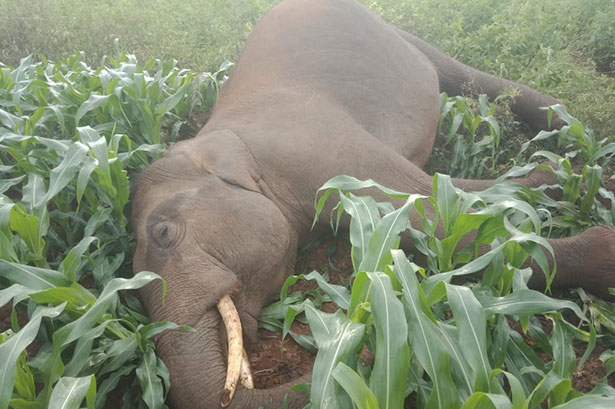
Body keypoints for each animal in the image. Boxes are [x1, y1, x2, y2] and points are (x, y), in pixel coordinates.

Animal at [131, 0, 615, 408]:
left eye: (164, 232)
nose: (362, 342)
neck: (215, 138)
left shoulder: (320, 147)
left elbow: (436, 213)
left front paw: (591, 237)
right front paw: (550, 180)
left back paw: (561, 123)